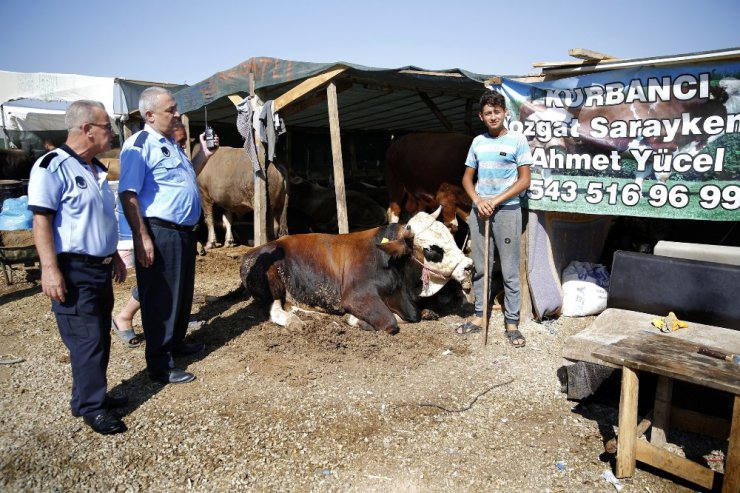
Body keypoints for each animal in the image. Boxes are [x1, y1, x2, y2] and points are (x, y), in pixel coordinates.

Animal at [243, 206, 474, 332]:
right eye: (432, 249)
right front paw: (353, 318)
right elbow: (391, 321)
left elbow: (422, 313)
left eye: (450, 236)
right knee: (274, 310)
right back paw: (294, 321)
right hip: (271, 283)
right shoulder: (356, 296)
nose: (469, 266)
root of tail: (254, 251)